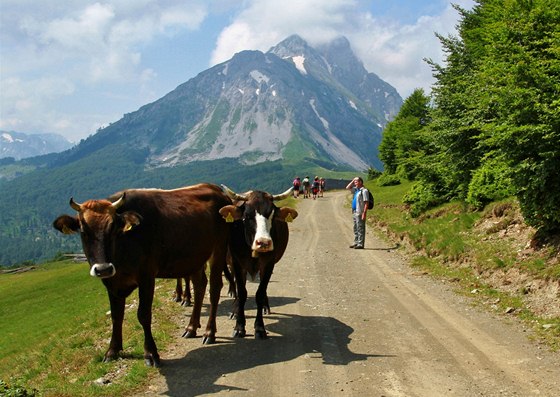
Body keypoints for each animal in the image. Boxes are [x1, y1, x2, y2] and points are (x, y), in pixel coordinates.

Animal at [54, 183, 232, 366]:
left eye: (113, 228)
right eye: (83, 231)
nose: (103, 269)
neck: (124, 249)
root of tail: (214, 188)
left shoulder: (146, 277)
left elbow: (144, 314)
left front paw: (151, 353)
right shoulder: (112, 282)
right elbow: (116, 316)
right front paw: (112, 350)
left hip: (219, 248)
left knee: (215, 288)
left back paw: (209, 332)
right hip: (195, 257)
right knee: (200, 286)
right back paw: (191, 327)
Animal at [219, 185, 298, 338]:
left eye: (272, 215)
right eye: (247, 215)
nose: (264, 242)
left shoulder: (268, 264)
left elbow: (260, 293)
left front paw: (260, 327)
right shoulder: (237, 263)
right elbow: (242, 292)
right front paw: (239, 326)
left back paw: (265, 307)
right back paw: (235, 310)